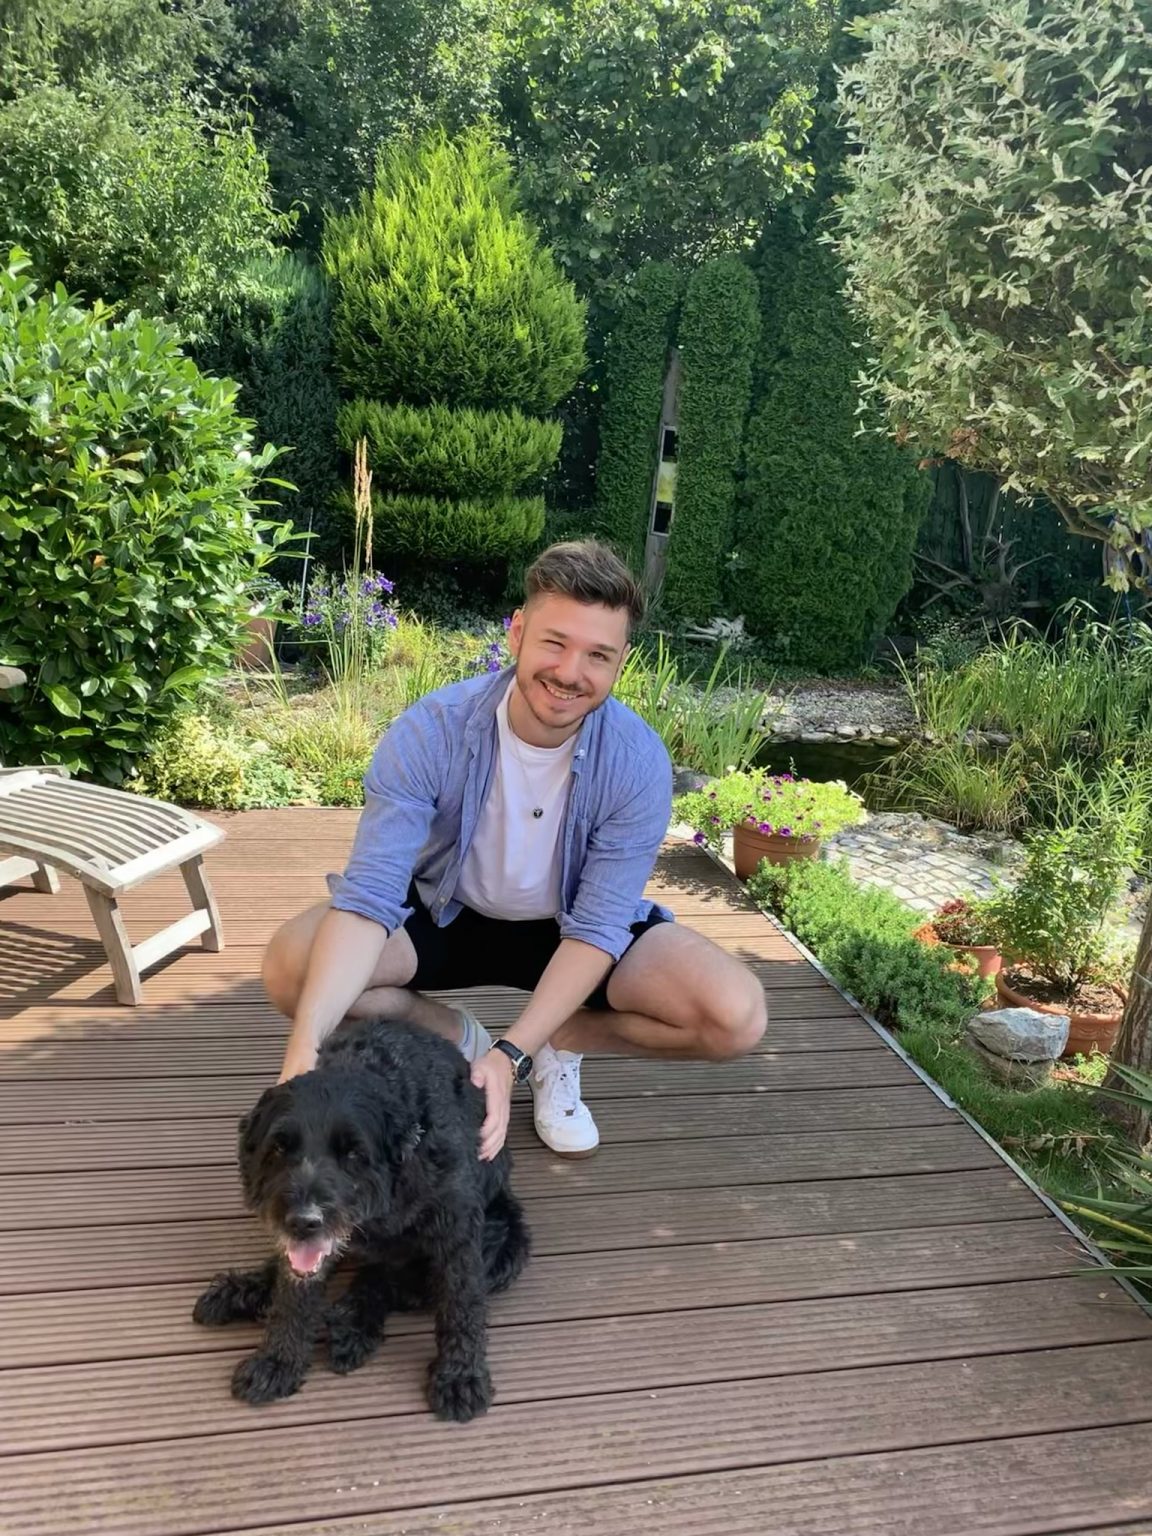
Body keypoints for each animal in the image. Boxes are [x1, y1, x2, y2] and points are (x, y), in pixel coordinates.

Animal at [192, 1016, 531, 1422]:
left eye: (354, 1153)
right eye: (279, 1147)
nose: (304, 1220)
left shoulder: (457, 1228)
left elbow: (460, 1302)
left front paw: (460, 1375)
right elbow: (293, 1292)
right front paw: (277, 1361)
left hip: (506, 1239)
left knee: (396, 1281)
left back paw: (354, 1322)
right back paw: (244, 1290)